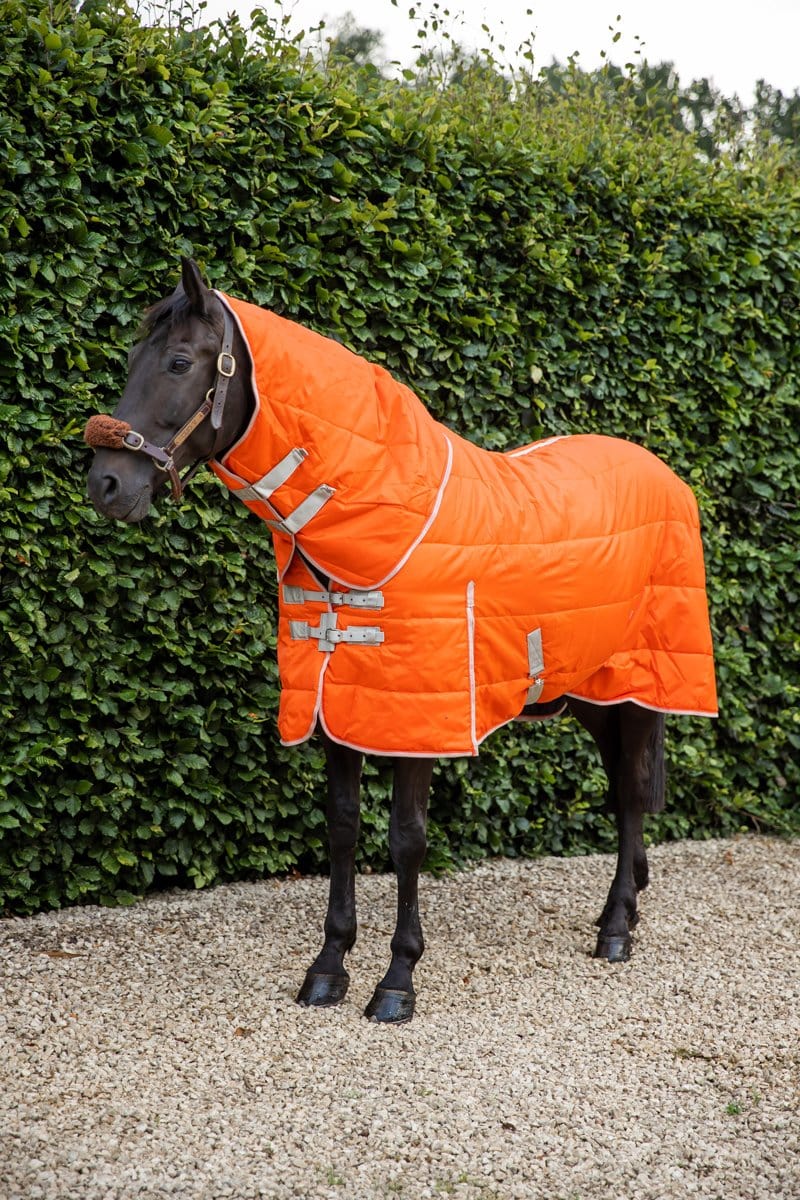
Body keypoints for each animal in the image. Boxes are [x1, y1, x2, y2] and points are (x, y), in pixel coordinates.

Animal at [85, 258, 717, 1023]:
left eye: (179, 361)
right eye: (132, 359)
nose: (106, 484)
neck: (384, 514)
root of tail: (666, 474)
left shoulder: (418, 722)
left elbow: (406, 840)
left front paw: (396, 982)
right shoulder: (336, 707)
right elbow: (343, 828)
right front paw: (328, 969)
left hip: (638, 685)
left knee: (629, 793)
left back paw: (618, 928)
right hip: (588, 692)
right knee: (624, 785)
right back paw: (618, 913)